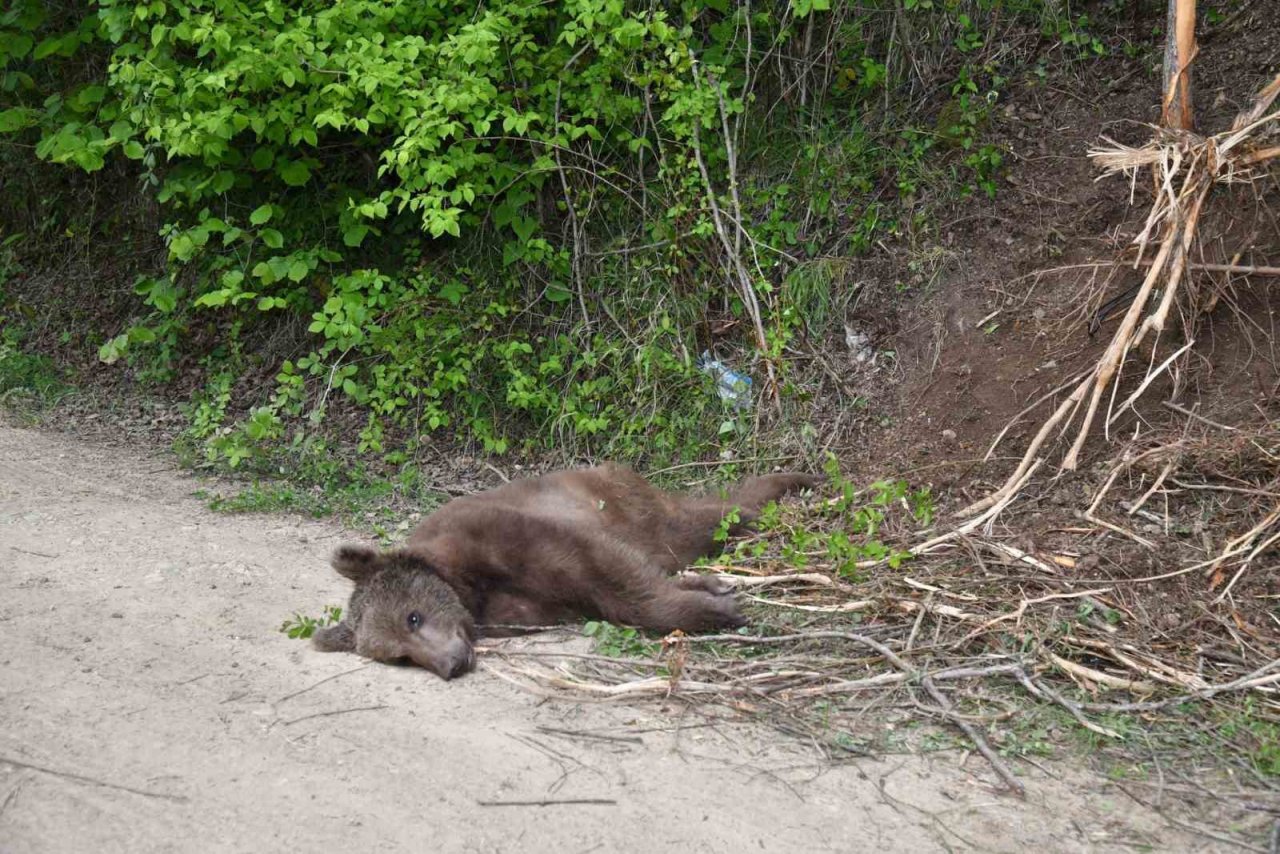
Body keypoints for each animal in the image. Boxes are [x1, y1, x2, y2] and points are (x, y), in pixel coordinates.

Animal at [314, 463, 824, 676]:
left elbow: (609, 575)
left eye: (412, 617)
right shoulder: (518, 607)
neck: (467, 586)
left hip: (625, 503)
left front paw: (720, 609)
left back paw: (786, 491)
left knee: (697, 523)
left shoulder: (509, 534)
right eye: (400, 657)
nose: (450, 666)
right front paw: (713, 592)